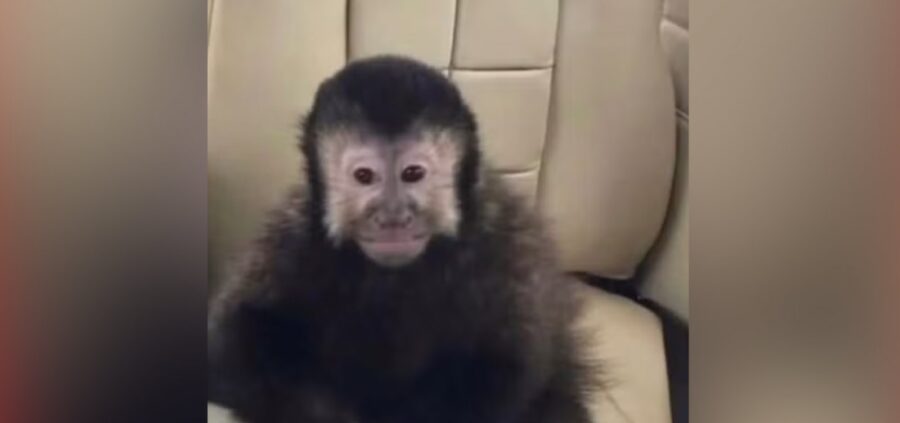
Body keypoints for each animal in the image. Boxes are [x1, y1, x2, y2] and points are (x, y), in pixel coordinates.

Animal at [208, 56, 596, 423]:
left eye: (412, 173)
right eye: (365, 176)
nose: (393, 217)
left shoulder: (505, 244)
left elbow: (510, 364)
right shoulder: (292, 238)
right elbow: (234, 336)